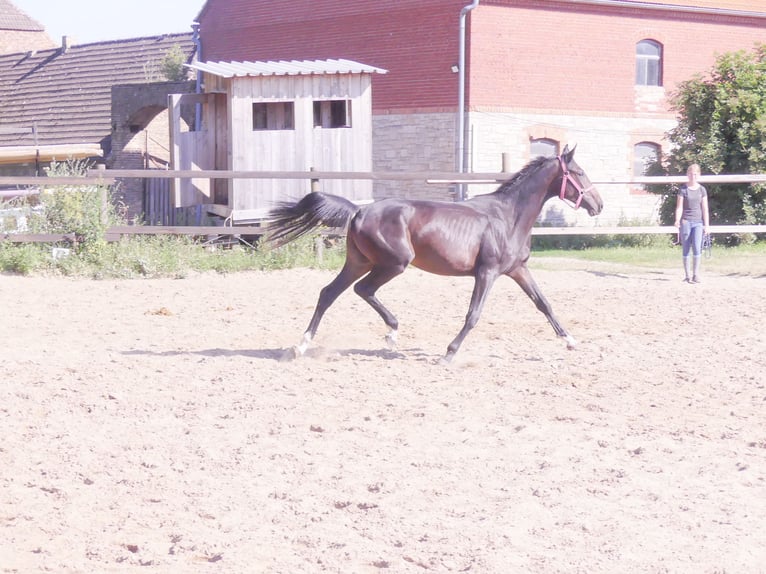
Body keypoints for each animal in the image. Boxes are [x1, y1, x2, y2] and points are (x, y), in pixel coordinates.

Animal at [265, 144, 603, 362]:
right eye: (579, 172)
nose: (599, 204)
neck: (509, 216)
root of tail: (359, 210)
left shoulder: (517, 270)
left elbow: (543, 304)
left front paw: (571, 342)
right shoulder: (487, 272)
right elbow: (473, 314)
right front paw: (449, 353)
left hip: (359, 262)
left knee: (329, 293)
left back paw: (301, 347)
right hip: (394, 263)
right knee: (362, 289)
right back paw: (391, 333)